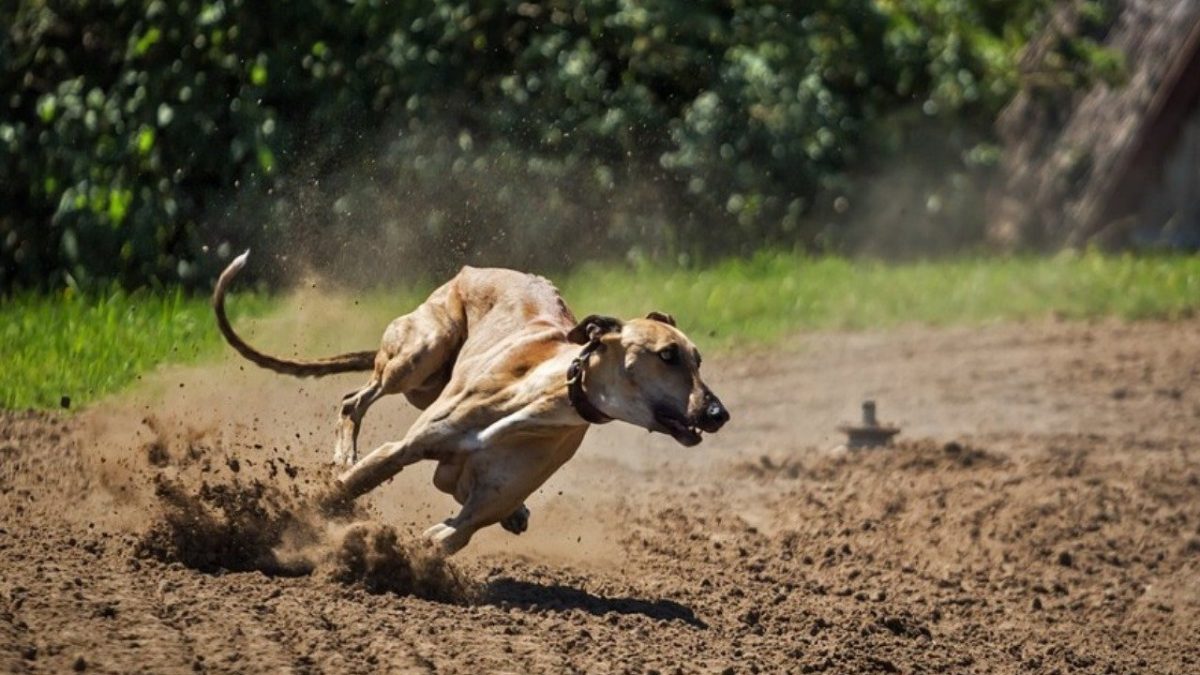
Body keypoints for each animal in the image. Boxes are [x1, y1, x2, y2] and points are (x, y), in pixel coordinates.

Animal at [211, 252, 724, 552]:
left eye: (699, 359)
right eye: (668, 355)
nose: (718, 414)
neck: (542, 398)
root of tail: (472, 271)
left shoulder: (477, 509)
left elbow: (449, 534)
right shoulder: (402, 448)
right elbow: (346, 487)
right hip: (420, 353)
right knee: (354, 400)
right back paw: (344, 455)